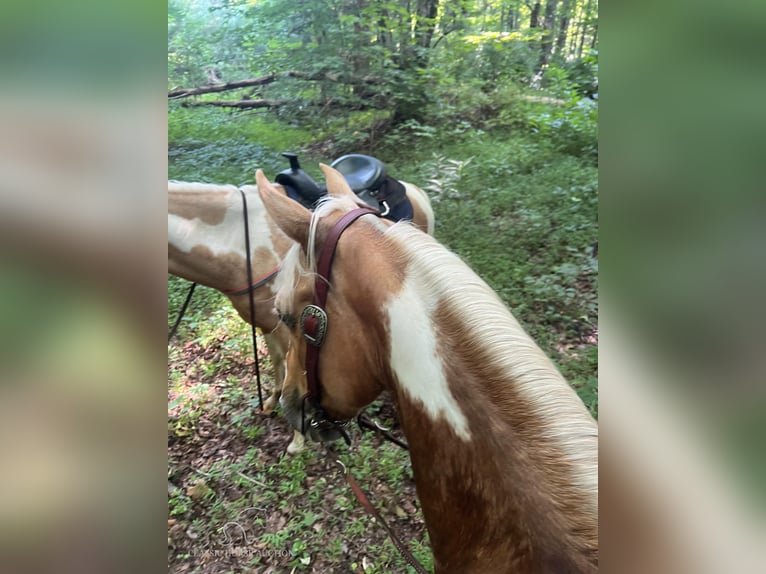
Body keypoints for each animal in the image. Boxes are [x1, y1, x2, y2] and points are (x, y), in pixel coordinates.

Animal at [167, 178, 436, 452]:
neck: (243, 245)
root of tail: (412, 188)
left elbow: (291, 366)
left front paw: (297, 439)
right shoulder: (267, 323)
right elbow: (278, 362)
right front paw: (271, 403)